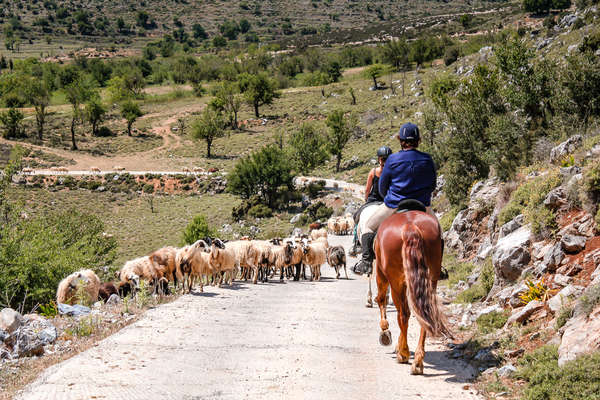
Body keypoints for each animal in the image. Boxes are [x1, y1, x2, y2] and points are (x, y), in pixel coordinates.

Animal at [372, 212, 452, 376]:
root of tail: (410, 226)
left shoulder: (381, 275)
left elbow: (382, 300)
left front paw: (385, 332)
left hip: (394, 281)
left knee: (403, 314)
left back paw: (403, 354)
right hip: (431, 280)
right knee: (425, 316)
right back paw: (418, 361)